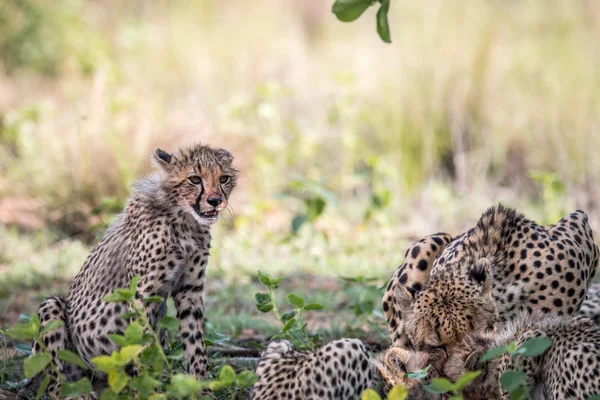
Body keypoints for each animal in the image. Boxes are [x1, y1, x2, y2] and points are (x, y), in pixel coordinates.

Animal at [31, 145, 236, 398]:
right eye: (195, 179)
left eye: (224, 178)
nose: (216, 201)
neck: (184, 218)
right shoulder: (141, 295)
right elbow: (143, 343)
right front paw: (148, 389)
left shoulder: (190, 290)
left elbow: (194, 340)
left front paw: (201, 387)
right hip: (51, 309)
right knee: (54, 383)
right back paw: (76, 393)